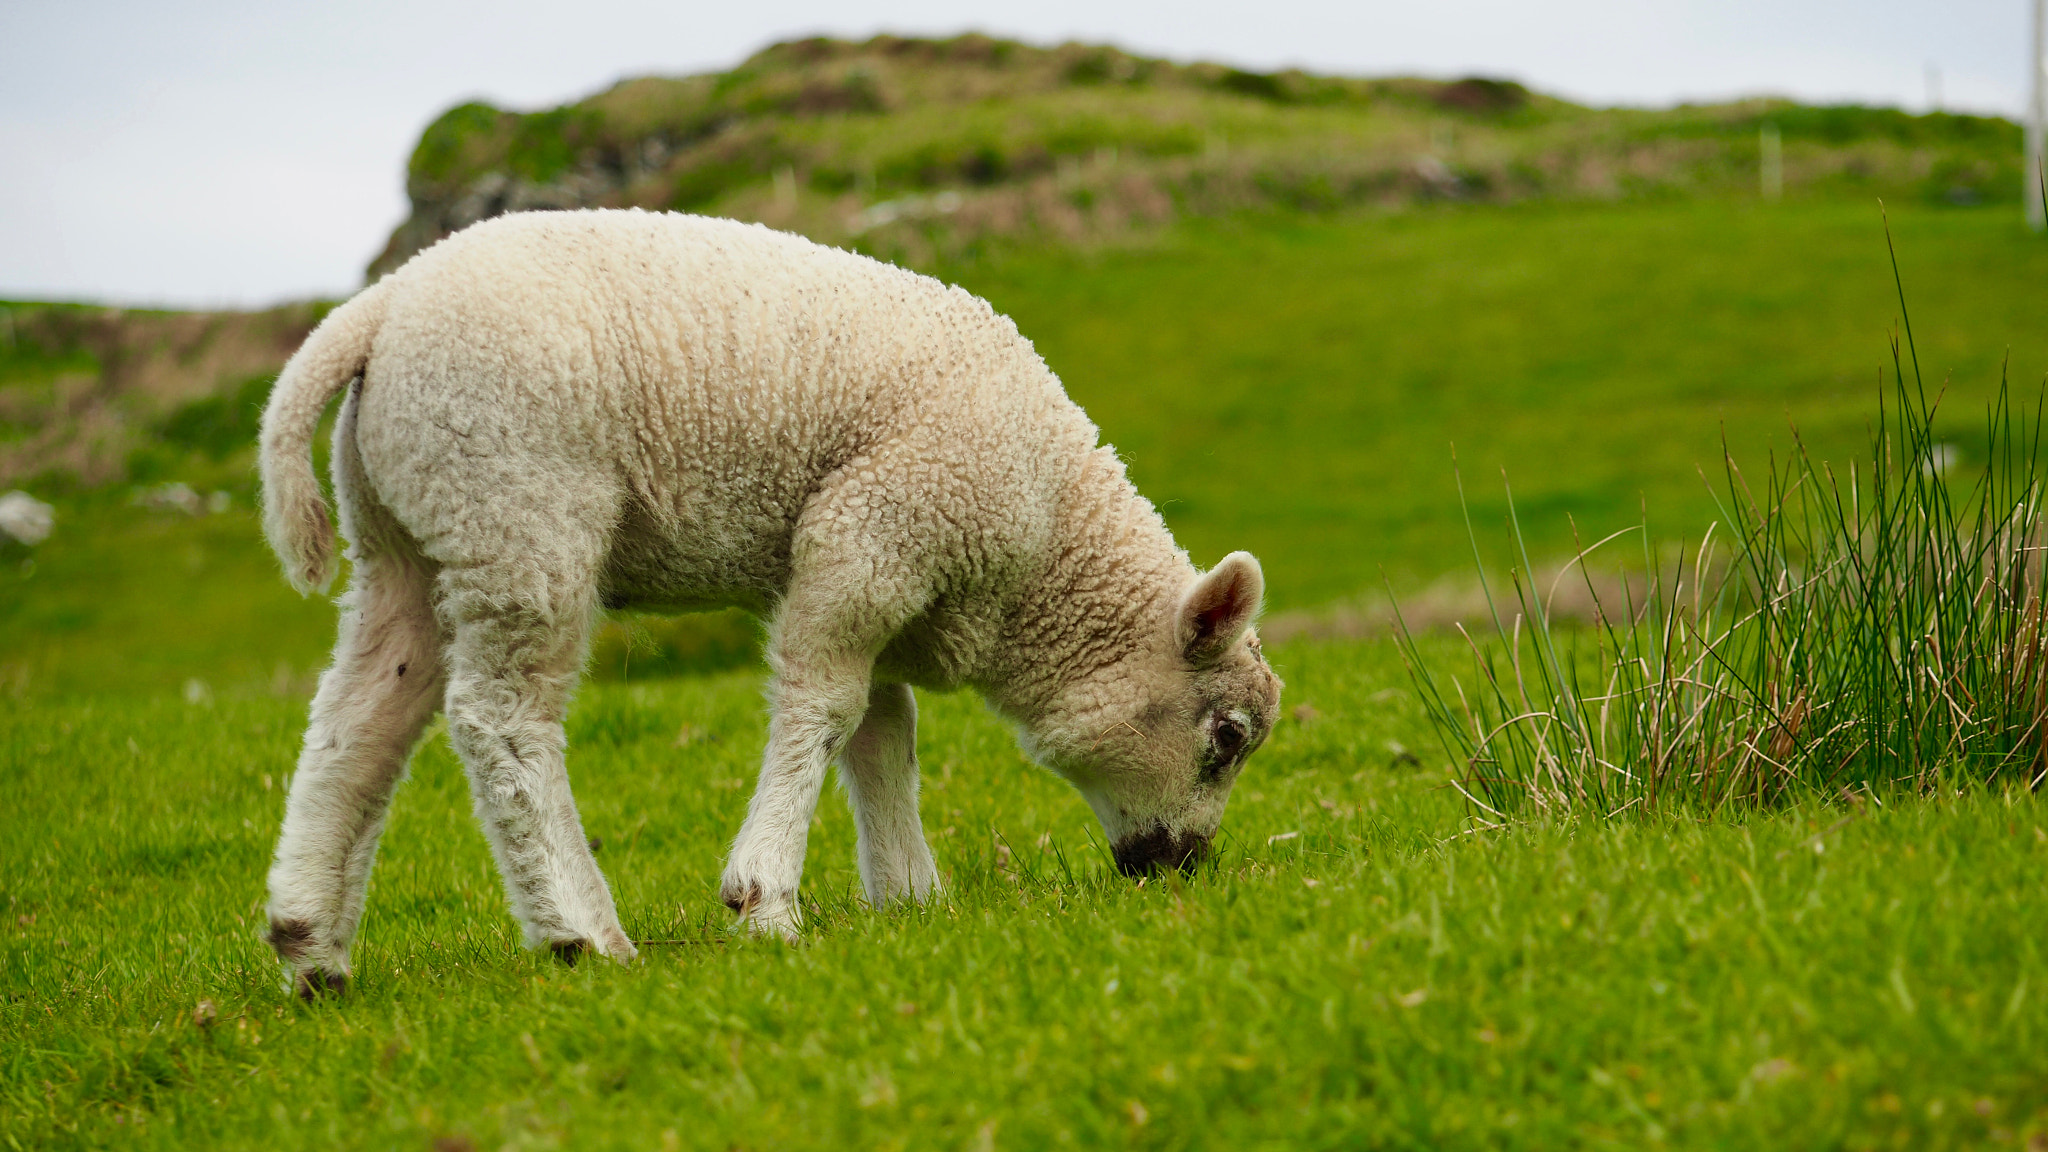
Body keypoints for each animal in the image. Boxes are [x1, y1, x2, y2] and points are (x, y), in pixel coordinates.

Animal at [257, 208, 1281, 995]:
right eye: (1226, 737)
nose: (1182, 869)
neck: (1046, 540)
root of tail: (379, 309)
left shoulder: (888, 574)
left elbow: (884, 735)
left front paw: (911, 897)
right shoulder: (873, 534)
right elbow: (825, 712)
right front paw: (767, 901)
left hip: (410, 534)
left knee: (361, 720)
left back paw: (313, 948)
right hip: (519, 512)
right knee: (499, 722)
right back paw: (580, 934)